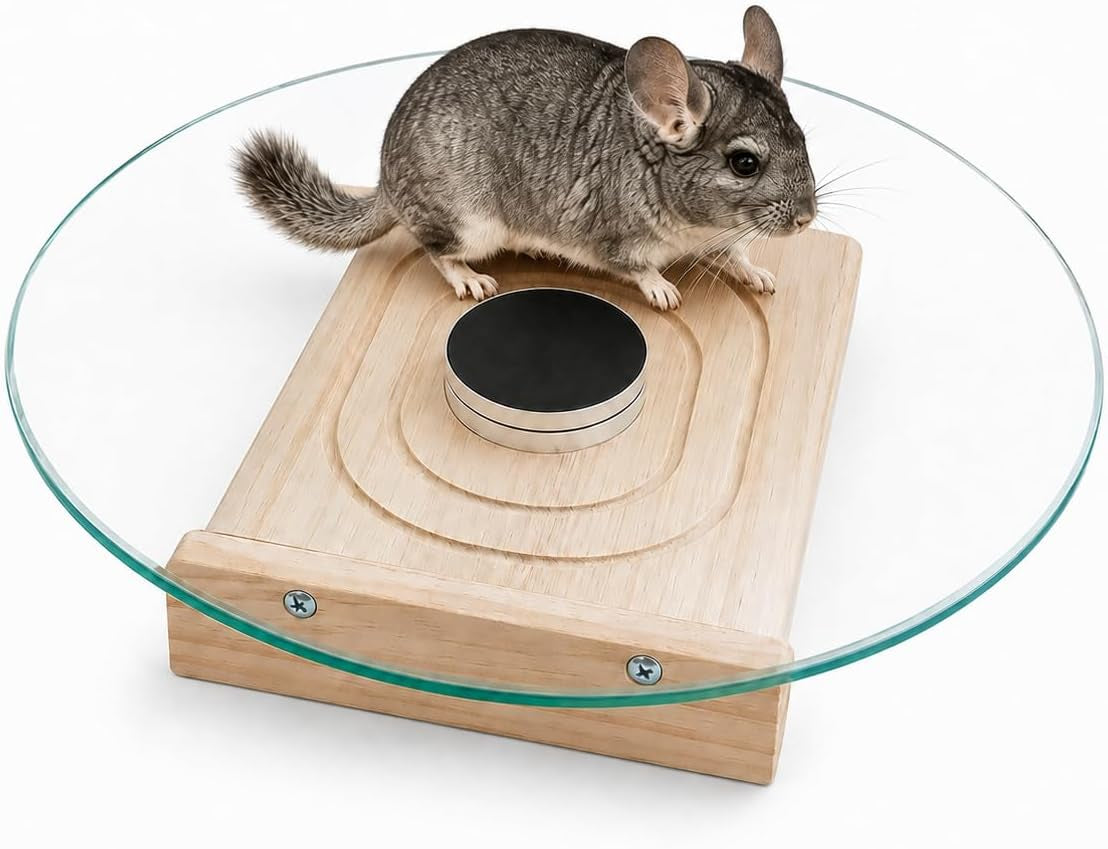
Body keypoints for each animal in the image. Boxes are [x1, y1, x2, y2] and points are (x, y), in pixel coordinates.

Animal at [234, 5, 816, 311]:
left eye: (804, 138)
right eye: (744, 163)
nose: (808, 219)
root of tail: (384, 178)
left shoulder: (720, 236)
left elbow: (736, 254)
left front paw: (760, 275)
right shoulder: (614, 237)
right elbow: (637, 267)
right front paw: (665, 291)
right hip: (468, 221)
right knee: (434, 250)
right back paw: (471, 280)